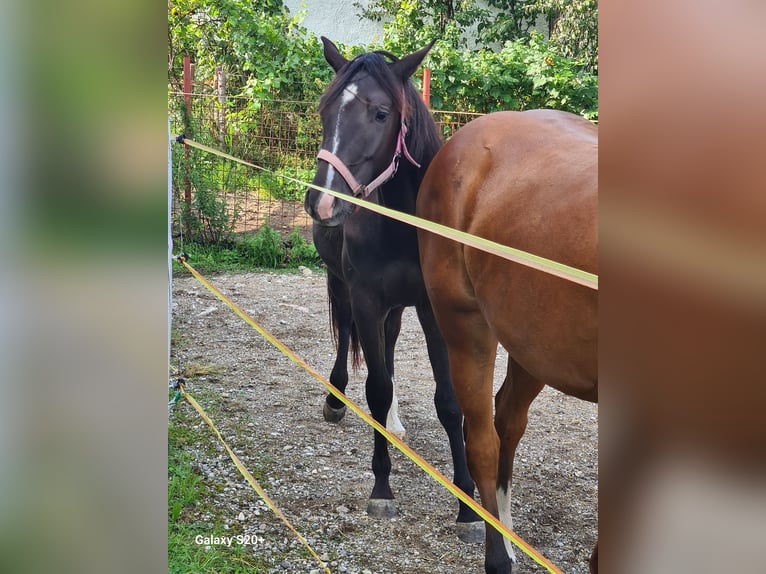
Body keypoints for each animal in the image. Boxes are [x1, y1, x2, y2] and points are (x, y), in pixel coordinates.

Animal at [304, 38, 484, 544]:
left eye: (381, 113)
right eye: (325, 110)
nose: (322, 201)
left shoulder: (431, 308)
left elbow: (449, 401)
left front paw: (467, 507)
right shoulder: (366, 298)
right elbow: (377, 387)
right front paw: (381, 488)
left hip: (398, 308)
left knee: (386, 343)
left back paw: (396, 423)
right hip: (341, 285)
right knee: (348, 337)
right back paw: (337, 399)